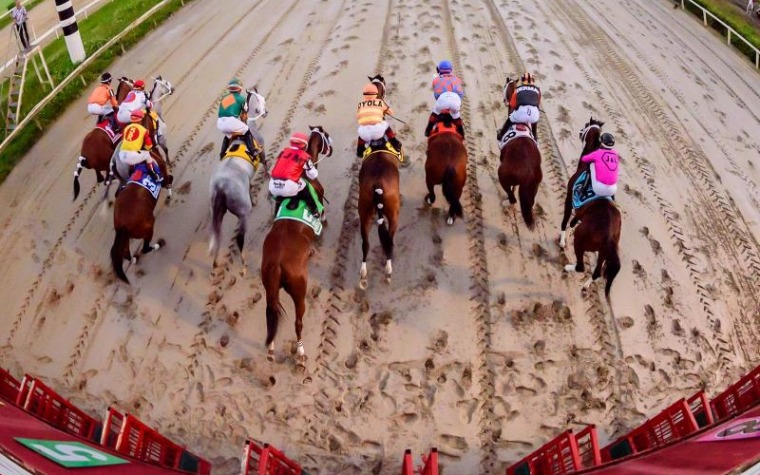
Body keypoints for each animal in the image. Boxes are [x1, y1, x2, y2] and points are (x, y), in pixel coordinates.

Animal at [110, 150, 168, 282]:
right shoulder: (165, 177)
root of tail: (122, 224)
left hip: (125, 237)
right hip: (148, 227)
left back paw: (134, 259)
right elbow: (169, 181)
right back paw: (158, 245)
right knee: (145, 248)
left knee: (125, 252)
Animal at [260, 126, 332, 368]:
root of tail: (277, 264)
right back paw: (300, 354)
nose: (331, 148)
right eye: (326, 136)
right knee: (298, 322)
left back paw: (271, 349)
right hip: (299, 289)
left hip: (270, 287)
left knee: (271, 313)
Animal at [498, 78, 540, 231]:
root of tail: (528, 172)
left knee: (513, 199)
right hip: (534, 186)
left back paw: (506, 203)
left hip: (502, 174)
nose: (504, 100)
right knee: (529, 202)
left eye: (504, 87)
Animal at [560, 117, 604, 249]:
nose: (580, 131)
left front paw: (562, 241)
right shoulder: (578, 213)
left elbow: (565, 221)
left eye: (586, 125)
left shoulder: (569, 199)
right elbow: (572, 224)